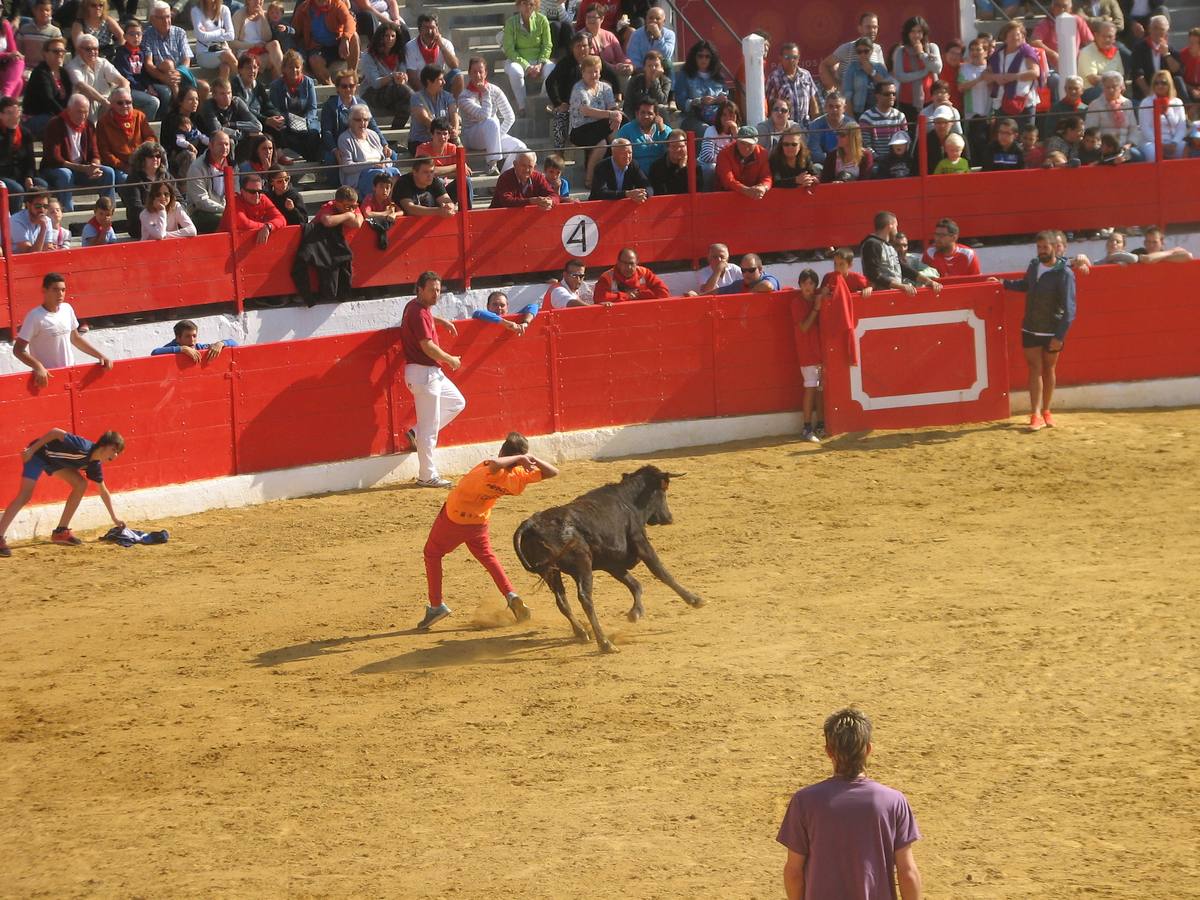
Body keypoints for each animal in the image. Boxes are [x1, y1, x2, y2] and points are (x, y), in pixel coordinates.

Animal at [508, 465, 700, 657]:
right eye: (664, 489)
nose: (669, 517)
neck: (628, 502)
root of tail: (531, 524)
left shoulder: (612, 563)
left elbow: (635, 584)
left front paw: (635, 613)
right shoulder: (641, 542)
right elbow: (661, 572)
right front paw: (695, 599)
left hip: (550, 572)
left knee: (561, 600)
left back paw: (582, 633)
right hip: (582, 565)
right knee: (585, 598)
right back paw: (605, 643)